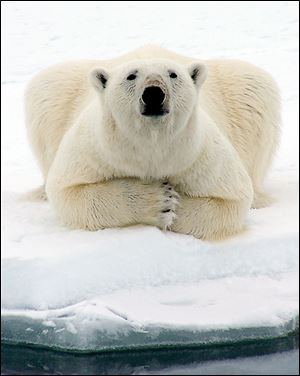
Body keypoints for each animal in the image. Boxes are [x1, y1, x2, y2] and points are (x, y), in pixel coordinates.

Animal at [24, 45, 280, 239]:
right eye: (131, 75)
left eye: (173, 74)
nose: (154, 93)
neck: (152, 147)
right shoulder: (94, 150)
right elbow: (70, 192)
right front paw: (159, 201)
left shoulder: (201, 156)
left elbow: (231, 200)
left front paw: (172, 204)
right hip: (59, 88)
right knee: (47, 88)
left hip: (242, 89)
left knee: (255, 88)